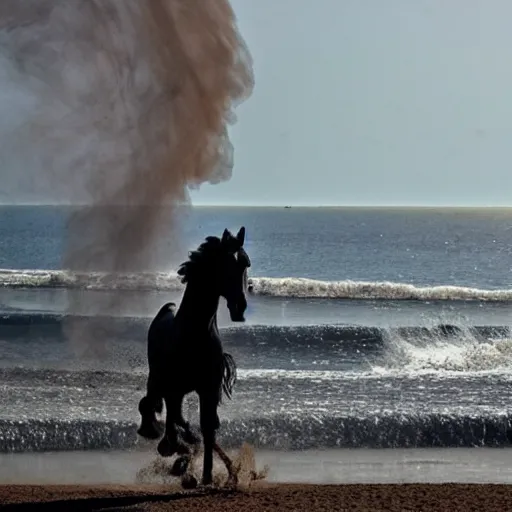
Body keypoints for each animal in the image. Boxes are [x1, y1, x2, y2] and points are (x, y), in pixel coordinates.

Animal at [135, 226, 249, 486]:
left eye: (245, 264)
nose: (240, 307)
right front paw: (180, 456)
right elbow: (178, 424)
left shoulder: (208, 390)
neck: (194, 334)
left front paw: (209, 474)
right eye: (226, 264)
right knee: (157, 409)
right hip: (162, 384)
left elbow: (208, 429)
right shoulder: (173, 390)